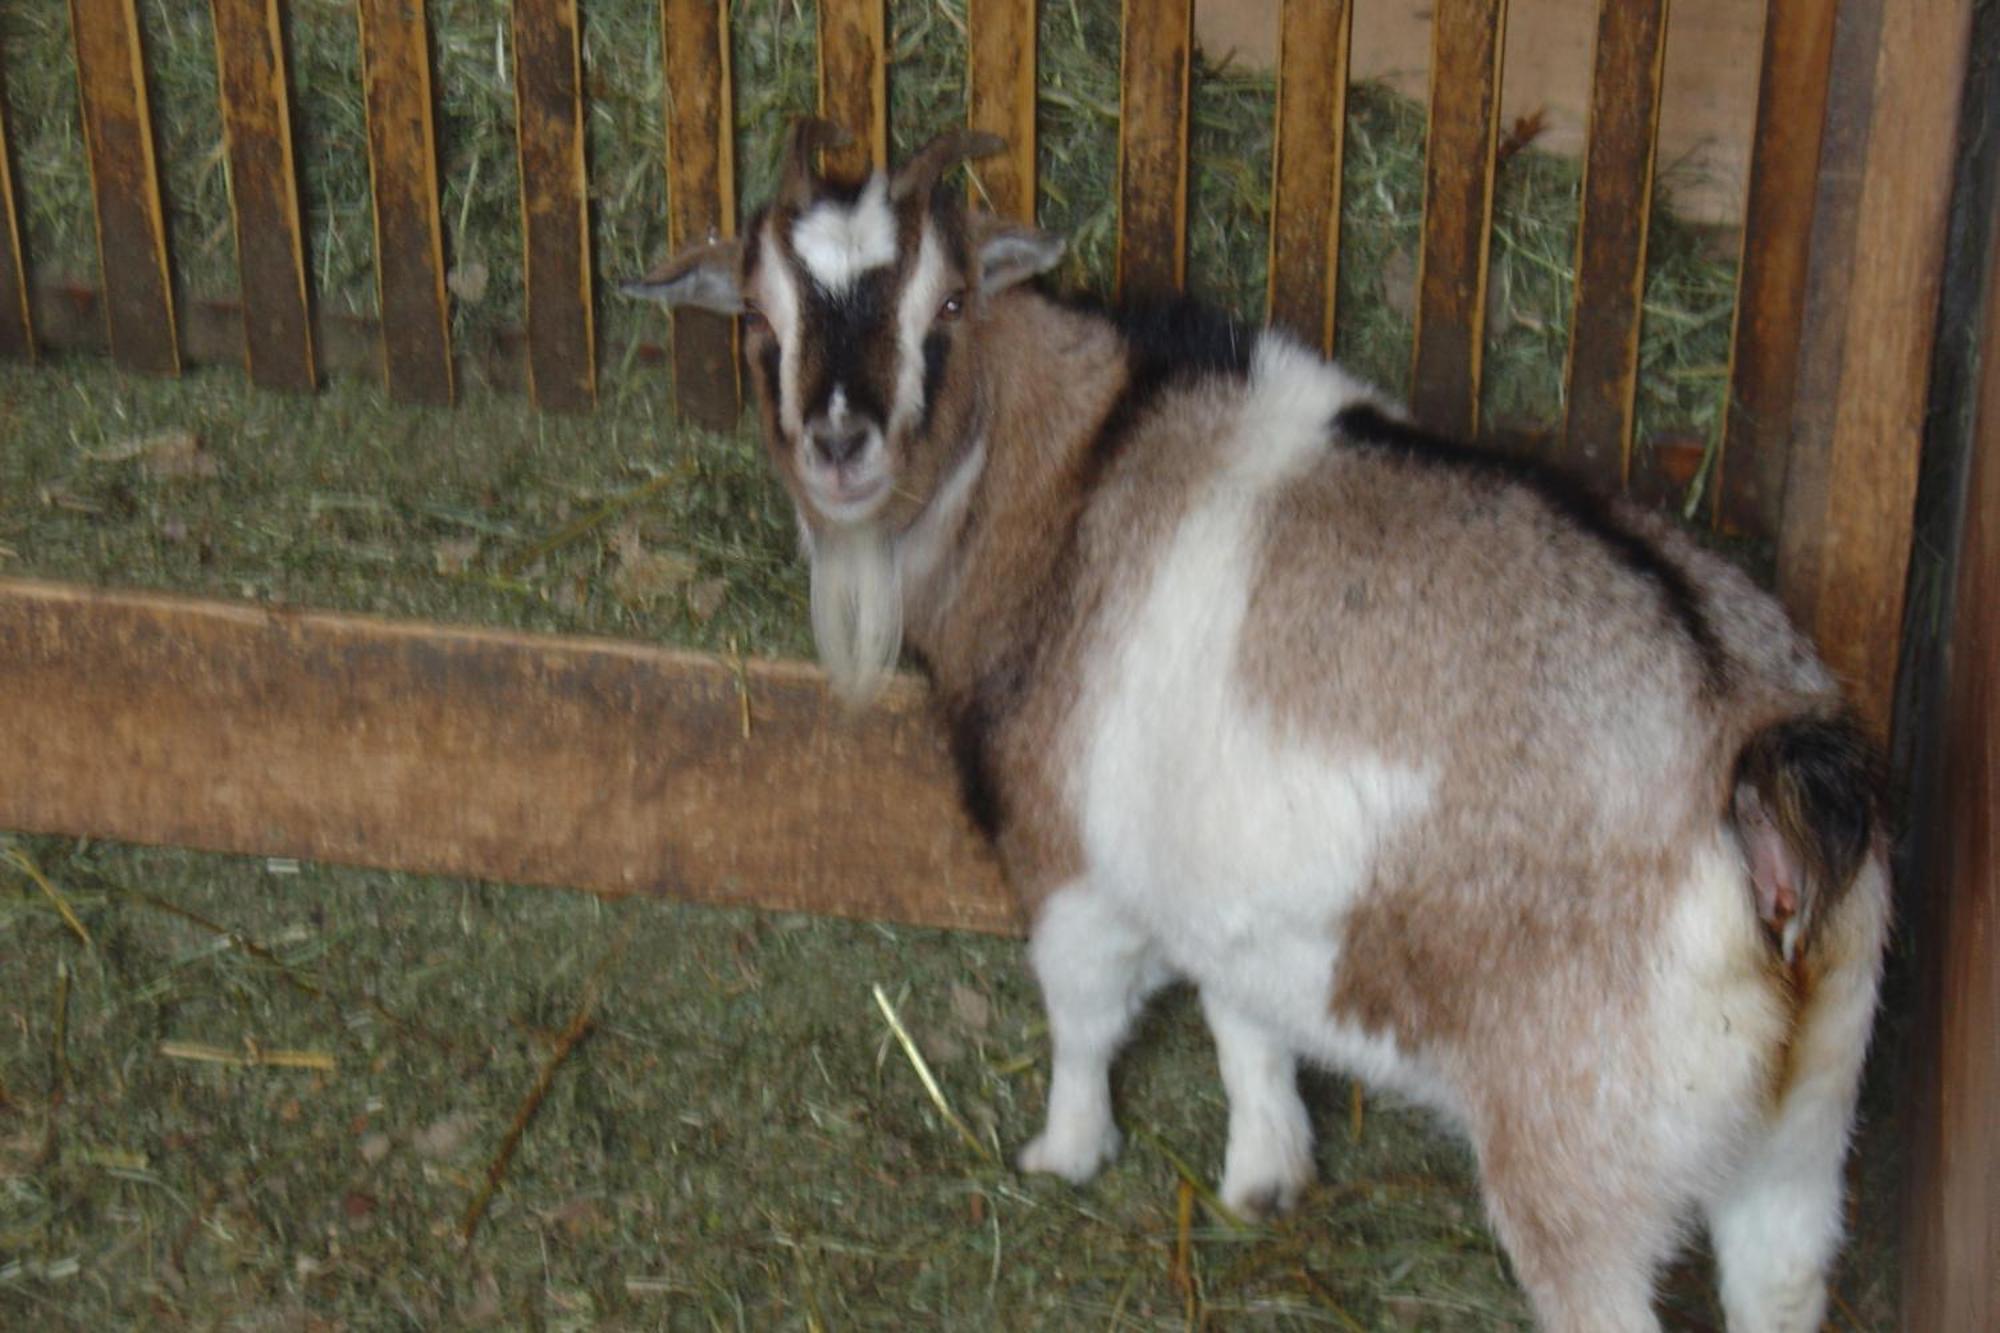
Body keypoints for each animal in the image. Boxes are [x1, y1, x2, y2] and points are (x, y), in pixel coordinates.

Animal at [632, 119, 1896, 1320]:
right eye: (757, 315)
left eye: (944, 303)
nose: (839, 444)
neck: (1079, 473)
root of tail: (1755, 754)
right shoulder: (1221, 881)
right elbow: (1244, 1022)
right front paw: (1264, 1176)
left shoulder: (1069, 860)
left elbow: (1083, 1016)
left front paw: (1062, 1154)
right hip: (1801, 1136)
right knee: (1782, 1280)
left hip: (1582, 1153)